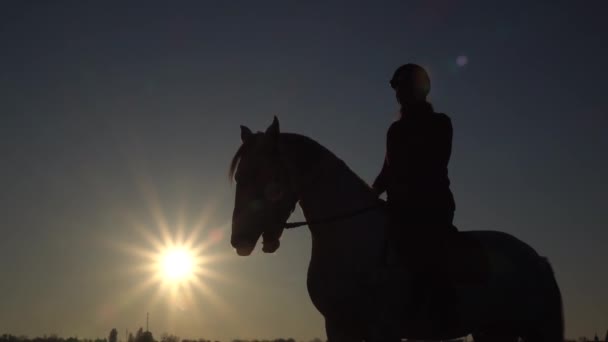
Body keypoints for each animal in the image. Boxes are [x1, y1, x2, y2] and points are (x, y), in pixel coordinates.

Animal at [229, 117, 564, 342]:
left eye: (263, 176)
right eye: (239, 177)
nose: (239, 241)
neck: (351, 240)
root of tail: (537, 259)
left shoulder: (383, 328)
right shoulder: (337, 326)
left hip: (535, 329)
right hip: (492, 331)